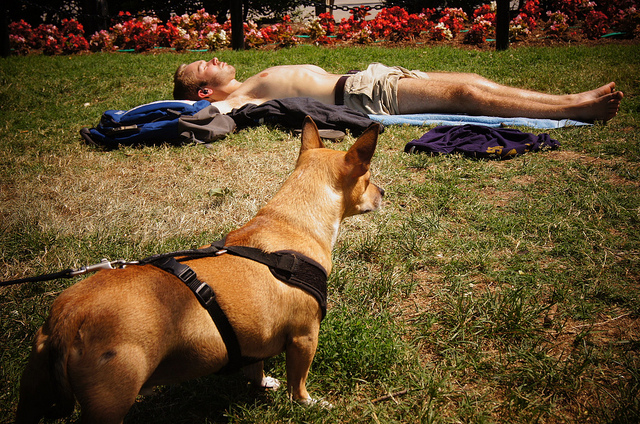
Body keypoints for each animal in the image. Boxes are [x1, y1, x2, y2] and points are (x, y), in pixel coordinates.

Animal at [15, 116, 383, 423]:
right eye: (368, 178)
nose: (383, 191)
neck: (293, 220)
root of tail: (68, 314)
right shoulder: (305, 337)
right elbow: (299, 383)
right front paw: (309, 403)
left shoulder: (255, 336)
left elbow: (256, 367)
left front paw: (263, 382)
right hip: (109, 401)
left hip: (32, 395)